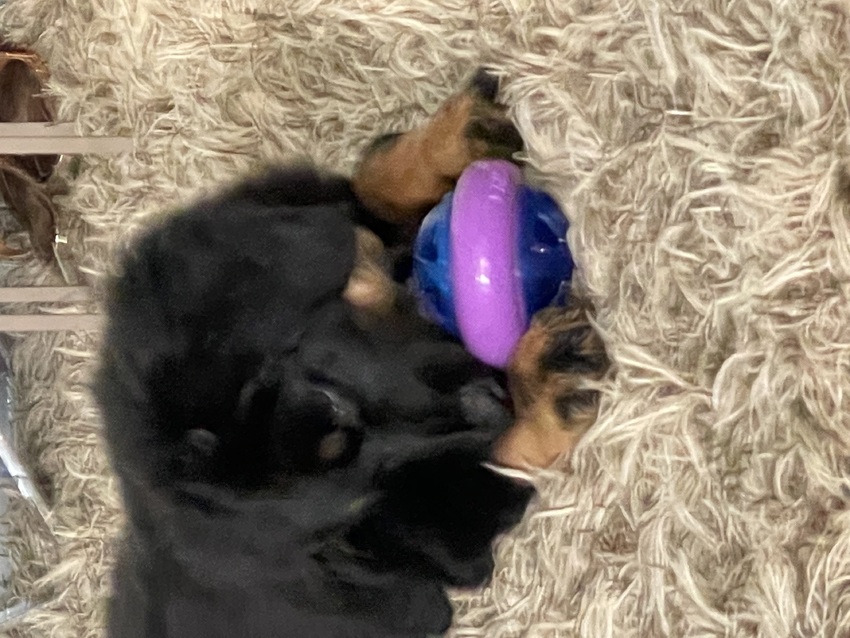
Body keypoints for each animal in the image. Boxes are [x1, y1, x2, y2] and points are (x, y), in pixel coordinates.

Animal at [94, 69, 608, 638]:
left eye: (332, 404)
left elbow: (367, 190)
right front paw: (546, 387)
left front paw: (444, 141)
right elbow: (510, 456)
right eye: (362, 496)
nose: (495, 402)